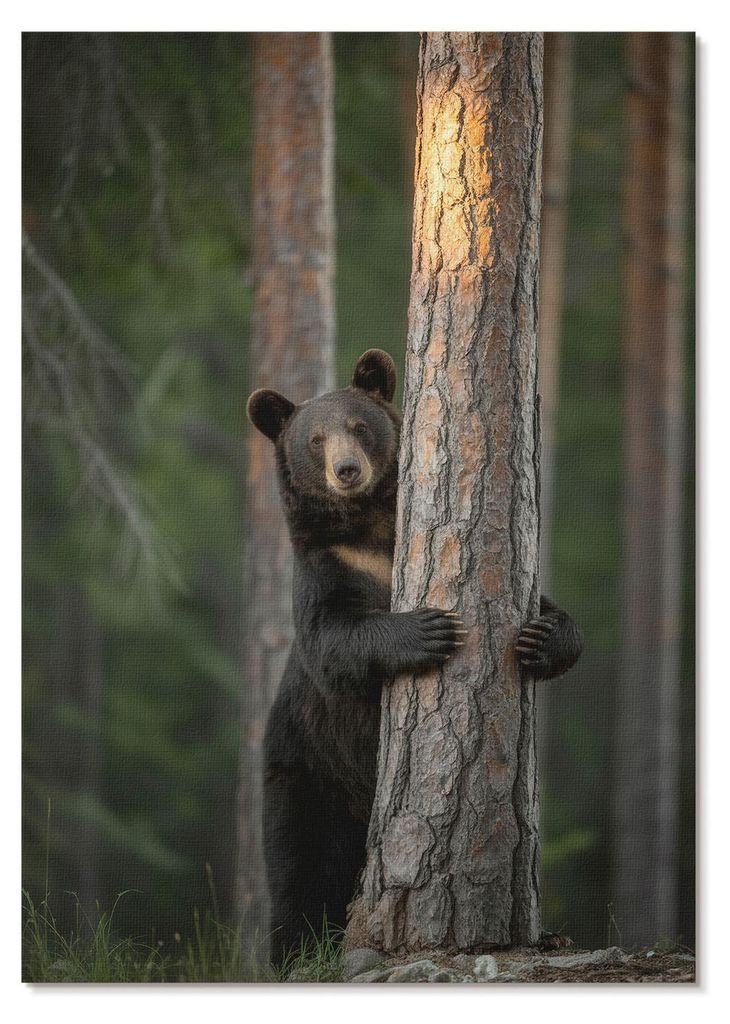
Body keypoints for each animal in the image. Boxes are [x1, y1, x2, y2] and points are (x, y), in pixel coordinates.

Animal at [246, 348, 583, 967]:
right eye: (315, 439)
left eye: (359, 426)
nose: (346, 470)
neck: (373, 532)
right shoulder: (328, 570)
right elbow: (333, 639)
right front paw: (429, 630)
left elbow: (545, 610)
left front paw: (540, 639)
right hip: (306, 770)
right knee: (298, 868)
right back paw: (298, 953)